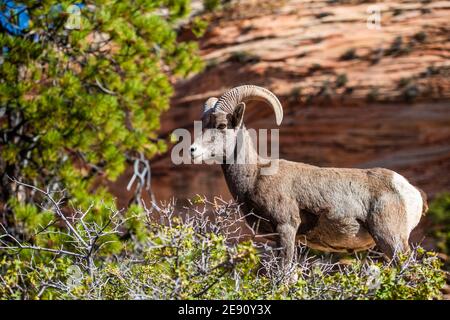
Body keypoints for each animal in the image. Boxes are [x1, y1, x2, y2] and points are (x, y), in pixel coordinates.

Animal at [188, 84, 428, 262]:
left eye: (221, 125)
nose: (193, 150)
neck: (255, 176)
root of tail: (410, 191)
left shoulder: (286, 228)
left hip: (392, 241)